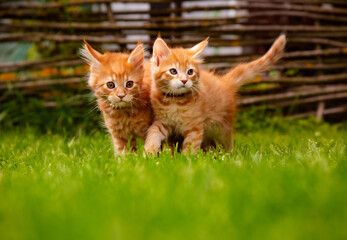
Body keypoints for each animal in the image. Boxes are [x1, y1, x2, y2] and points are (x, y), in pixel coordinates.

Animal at [145, 34, 288, 154]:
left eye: (190, 72)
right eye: (173, 71)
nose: (184, 80)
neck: (175, 102)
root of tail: (224, 82)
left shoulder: (195, 128)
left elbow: (191, 146)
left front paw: (186, 159)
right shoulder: (162, 122)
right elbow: (153, 133)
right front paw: (149, 152)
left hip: (222, 127)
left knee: (227, 142)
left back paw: (228, 155)